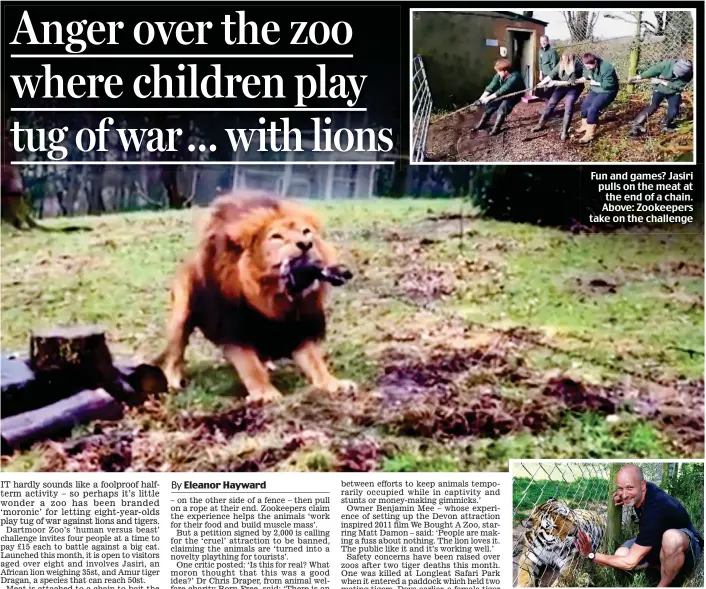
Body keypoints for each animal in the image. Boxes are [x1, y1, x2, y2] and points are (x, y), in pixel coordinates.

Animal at [154, 191, 352, 402]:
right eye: (276, 236)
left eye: (307, 232)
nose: (306, 244)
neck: (274, 299)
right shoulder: (234, 329)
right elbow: (250, 367)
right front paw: (266, 394)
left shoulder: (300, 327)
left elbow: (315, 362)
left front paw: (334, 384)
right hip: (181, 316)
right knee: (174, 356)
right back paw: (173, 382)